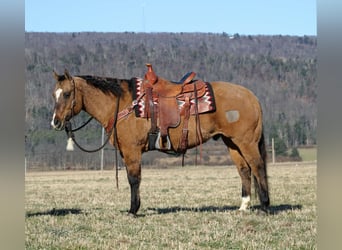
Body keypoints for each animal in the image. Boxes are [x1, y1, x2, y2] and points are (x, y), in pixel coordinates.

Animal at [50, 64, 270, 215]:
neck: (123, 104)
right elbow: (133, 178)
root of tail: (251, 97)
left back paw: (266, 206)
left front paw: (133, 210)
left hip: (246, 142)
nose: (55, 122)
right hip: (231, 142)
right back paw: (243, 206)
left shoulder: (132, 150)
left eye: (67, 94)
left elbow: (133, 179)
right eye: (54, 94)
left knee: (257, 166)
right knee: (244, 170)